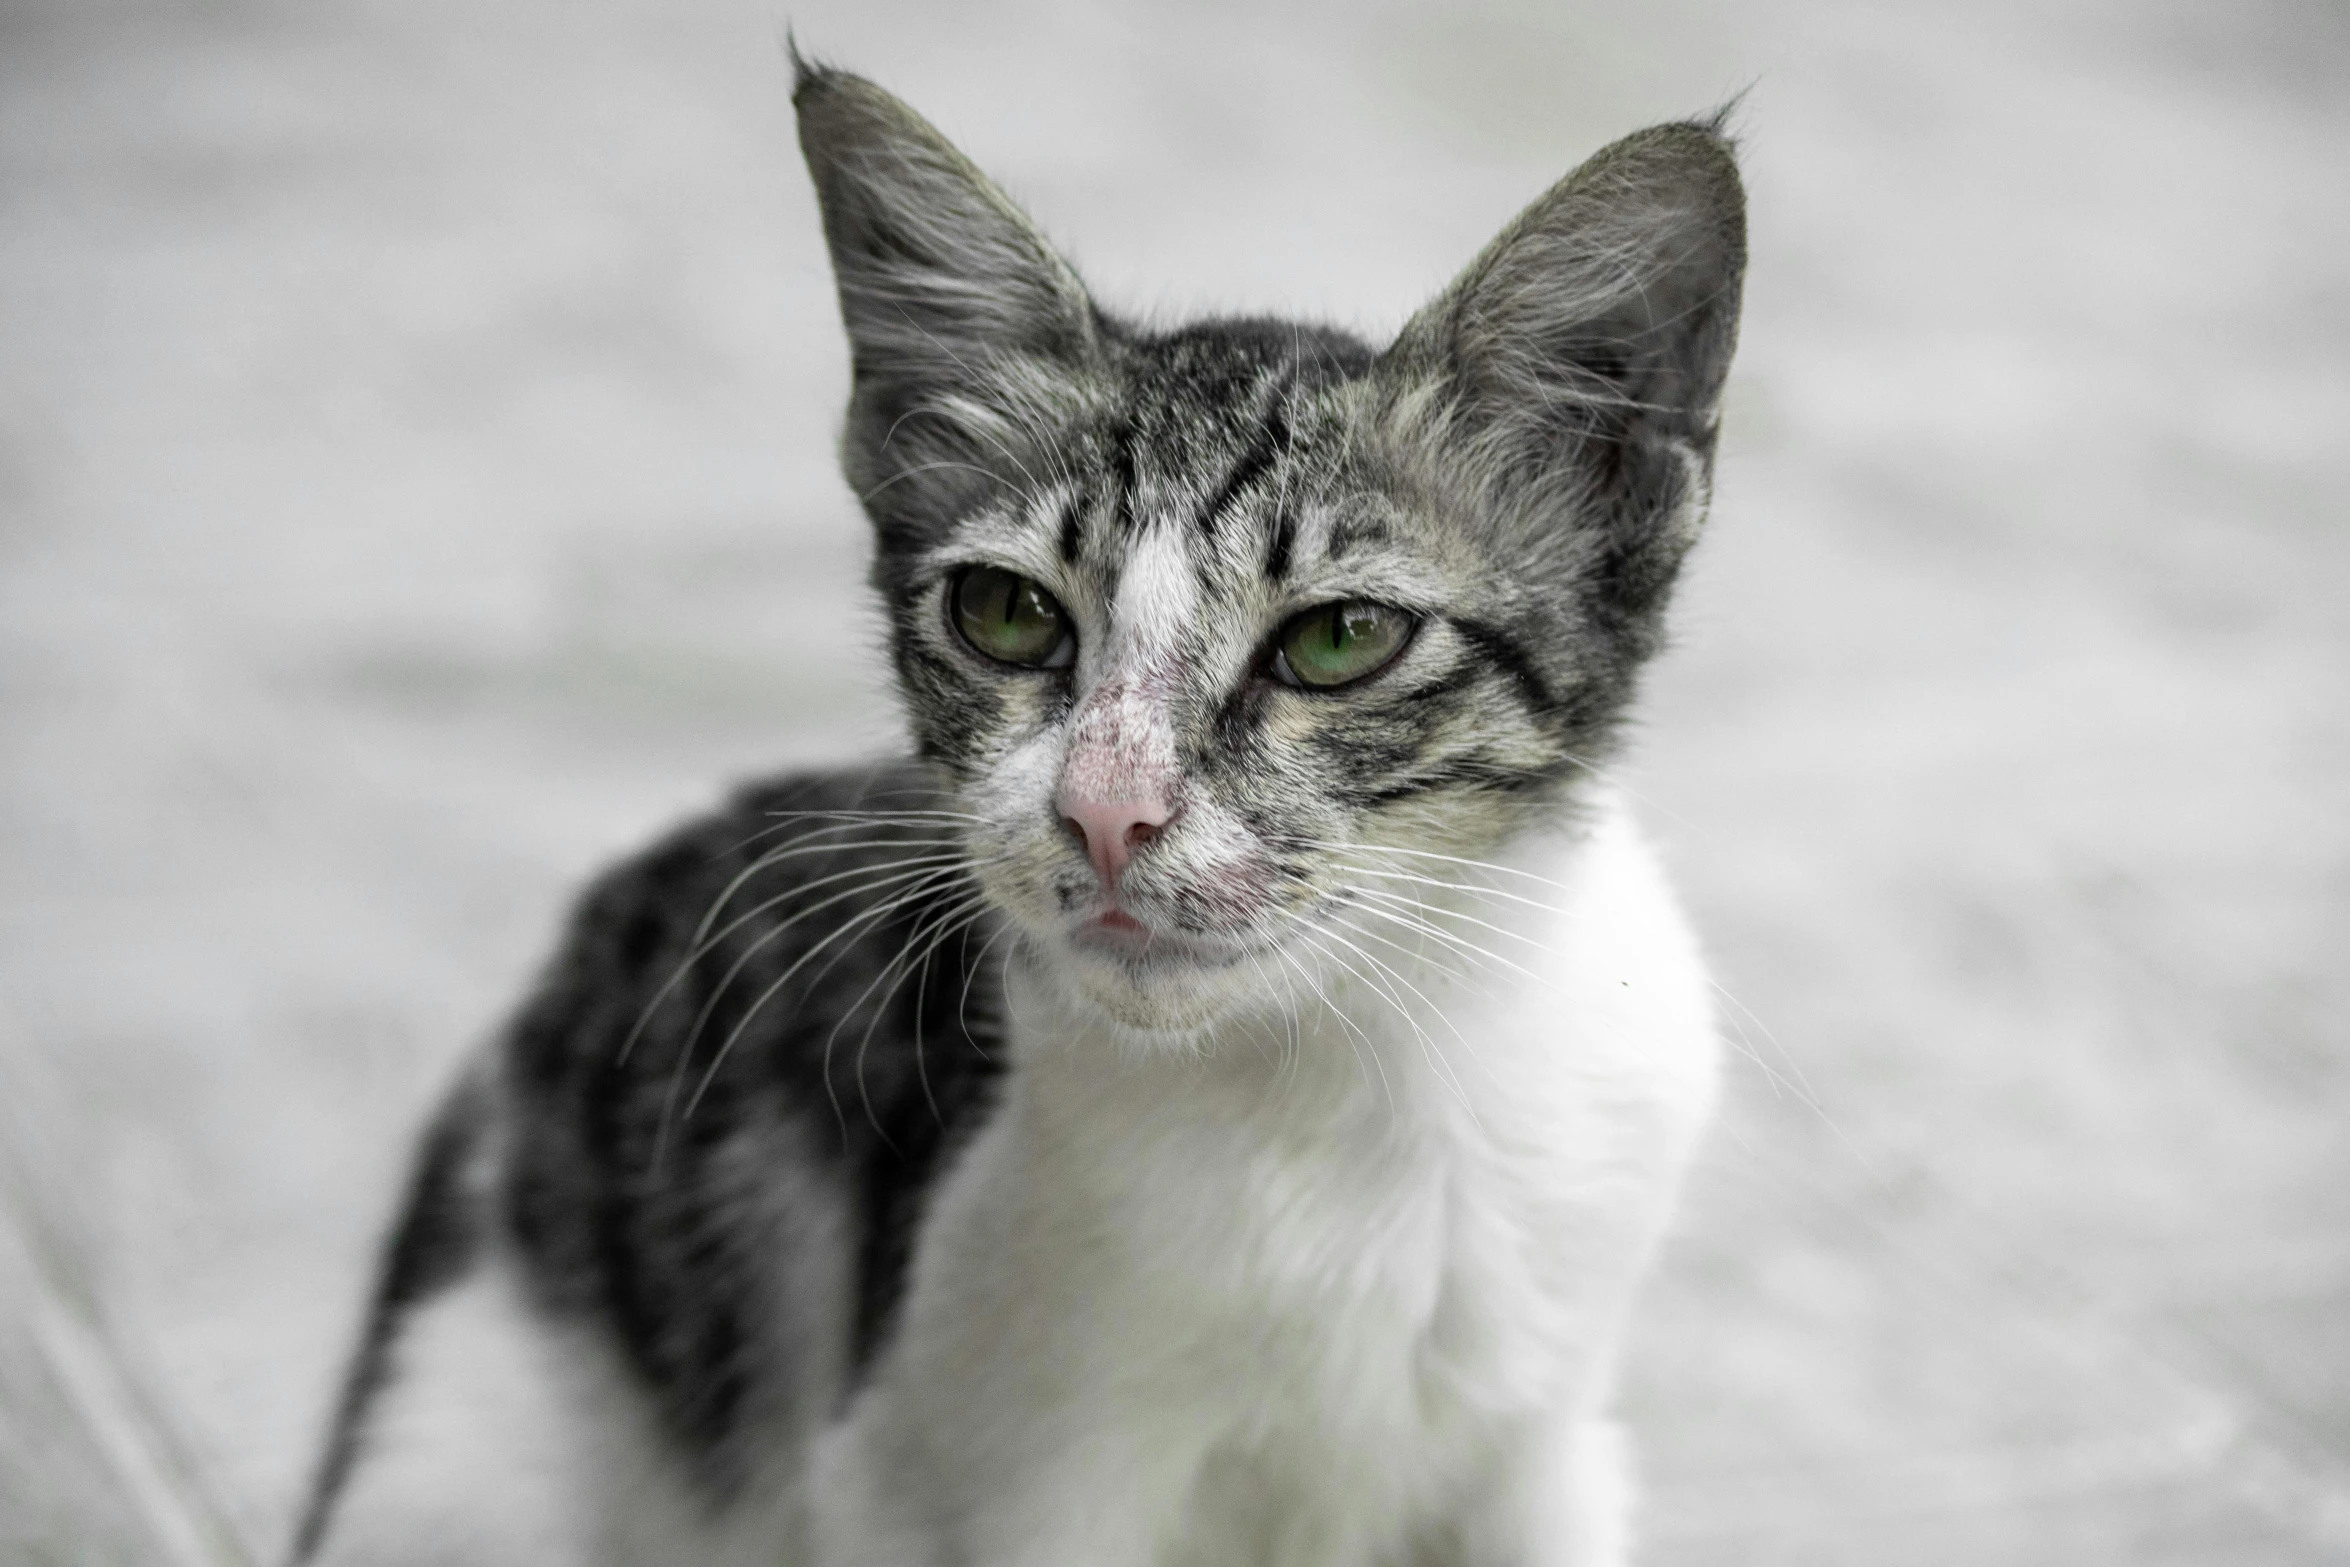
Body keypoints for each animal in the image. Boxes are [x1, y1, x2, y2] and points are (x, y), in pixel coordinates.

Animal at [289, 55, 1748, 1567]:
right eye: (1005, 613)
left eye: (1340, 637)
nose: (1107, 811)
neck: (1345, 1098)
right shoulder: (937, 1475)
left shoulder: (1545, 1454)